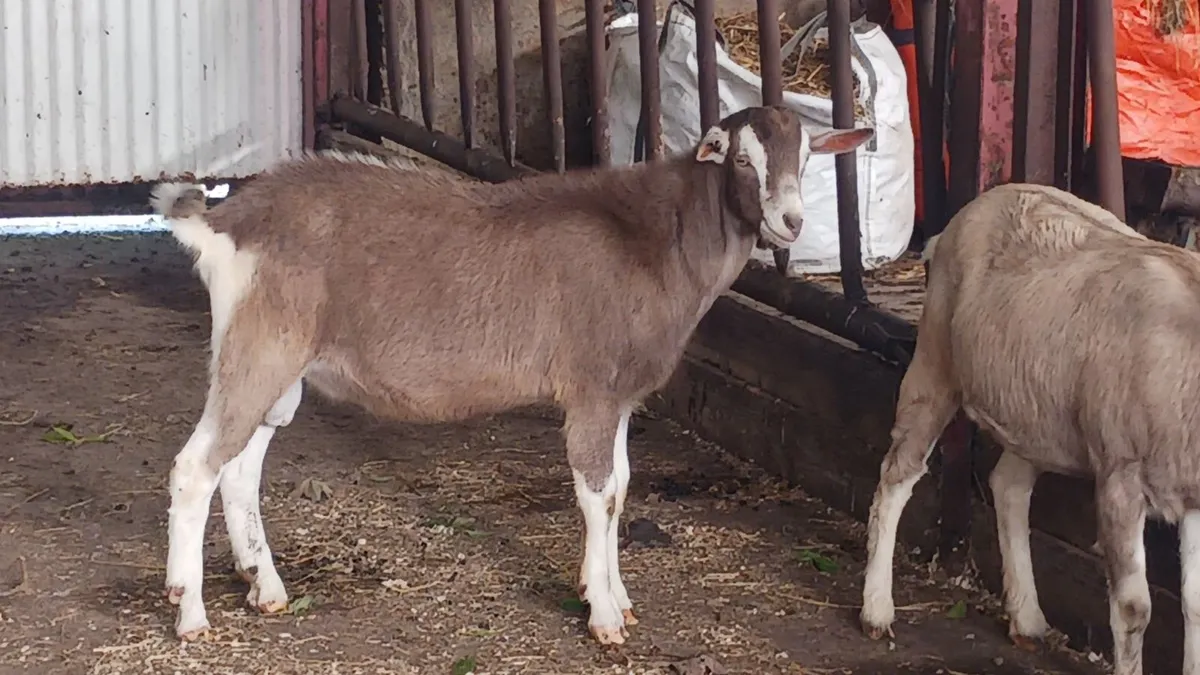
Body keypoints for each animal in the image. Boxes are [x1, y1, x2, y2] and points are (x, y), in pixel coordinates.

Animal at [150, 106, 874, 645]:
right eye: (742, 159)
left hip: (283, 364)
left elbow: (621, 490)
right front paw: (604, 618)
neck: (654, 239)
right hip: (260, 346)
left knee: (239, 466)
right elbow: (597, 495)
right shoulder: (590, 388)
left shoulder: (619, 396)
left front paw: (615, 595)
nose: (791, 221)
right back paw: (190, 612)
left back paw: (264, 586)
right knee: (195, 466)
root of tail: (226, 221)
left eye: (807, 157)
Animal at [858, 182, 1200, 675]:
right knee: (898, 473)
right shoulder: (1120, 477)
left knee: (1008, 485)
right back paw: (876, 610)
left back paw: (1026, 619)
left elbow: (1195, 603)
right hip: (934, 361)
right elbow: (1134, 608)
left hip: (1030, 413)